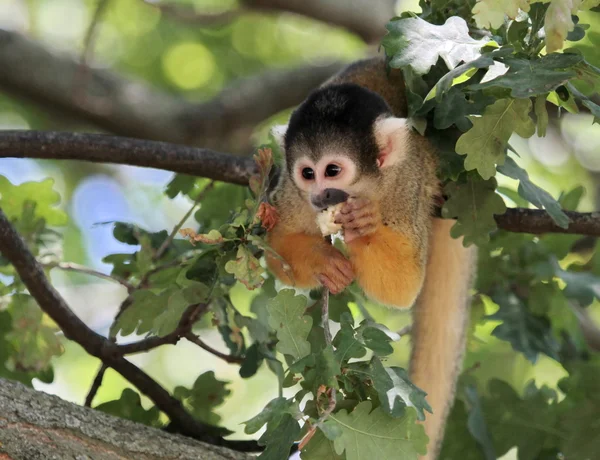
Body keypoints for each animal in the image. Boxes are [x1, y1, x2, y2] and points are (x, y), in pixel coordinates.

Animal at [264, 58, 476, 460]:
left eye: (332, 171)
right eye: (307, 173)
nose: (320, 195)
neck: (366, 188)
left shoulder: (406, 182)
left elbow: (403, 286)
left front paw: (363, 227)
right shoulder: (293, 192)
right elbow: (276, 243)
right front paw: (323, 261)